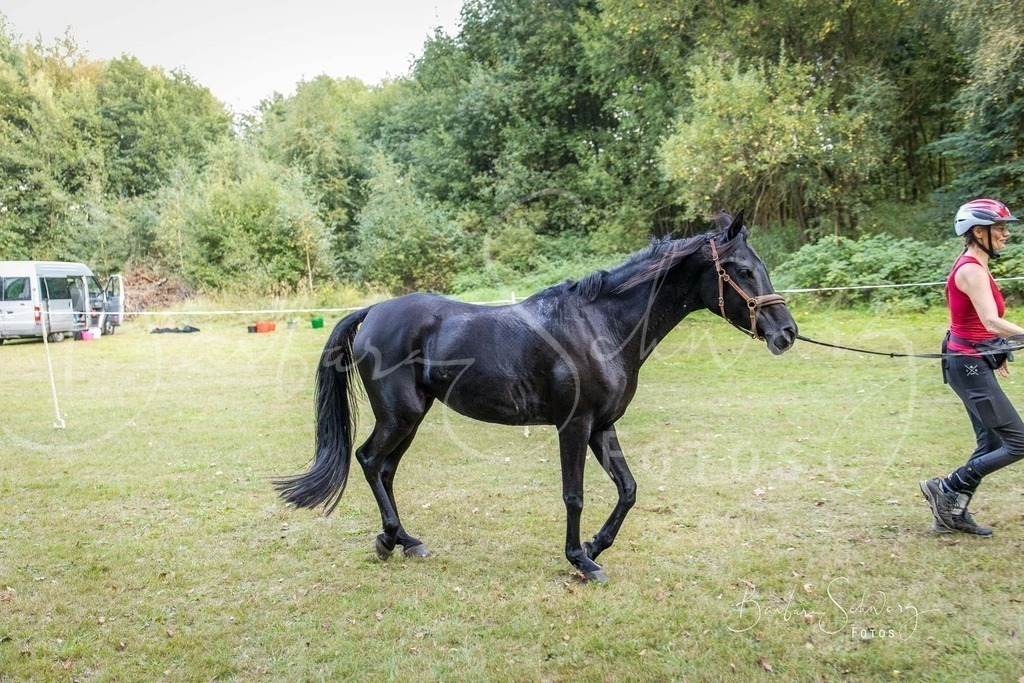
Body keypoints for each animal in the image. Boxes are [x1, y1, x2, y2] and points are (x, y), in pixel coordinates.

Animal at [275, 211, 797, 583]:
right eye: (743, 271)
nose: (787, 334)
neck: (601, 327)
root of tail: (373, 312)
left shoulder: (602, 427)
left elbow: (628, 490)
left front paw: (594, 546)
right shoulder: (575, 425)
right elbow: (574, 495)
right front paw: (580, 561)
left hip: (412, 417)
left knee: (383, 469)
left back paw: (405, 541)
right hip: (399, 416)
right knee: (368, 461)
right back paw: (390, 540)